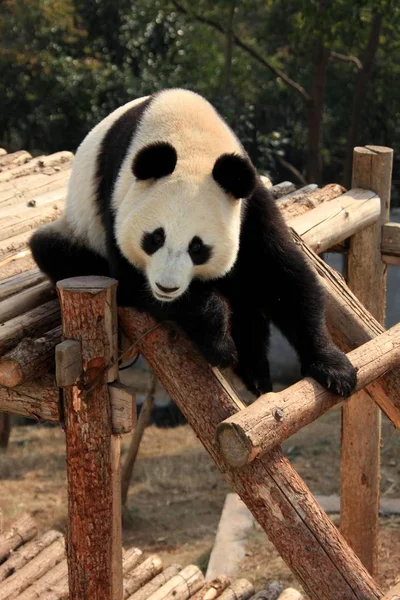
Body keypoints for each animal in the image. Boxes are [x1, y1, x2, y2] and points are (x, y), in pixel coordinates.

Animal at [30, 88, 356, 398]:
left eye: (197, 247)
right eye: (155, 238)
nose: (166, 287)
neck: (190, 145)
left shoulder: (248, 205)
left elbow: (280, 276)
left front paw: (334, 369)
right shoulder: (115, 198)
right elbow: (134, 280)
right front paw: (219, 344)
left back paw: (255, 372)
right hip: (79, 226)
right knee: (54, 250)